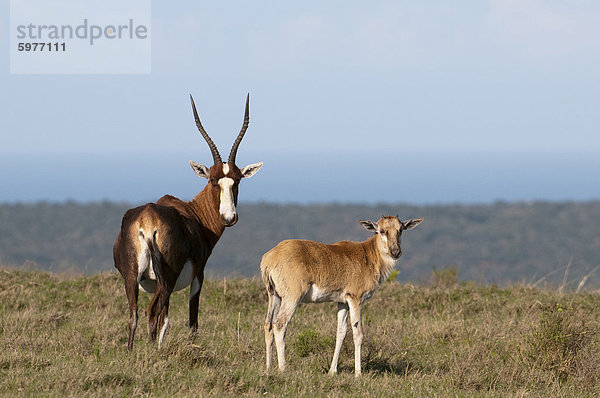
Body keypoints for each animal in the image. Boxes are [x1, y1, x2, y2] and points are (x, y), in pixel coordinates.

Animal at [113, 95, 262, 350]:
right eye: (213, 180)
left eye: (237, 181)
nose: (229, 217)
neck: (191, 213)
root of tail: (147, 221)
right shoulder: (198, 275)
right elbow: (191, 319)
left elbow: (166, 319)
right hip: (166, 280)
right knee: (152, 313)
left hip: (133, 279)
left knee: (135, 314)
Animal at [262, 215, 422, 376]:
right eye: (382, 230)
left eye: (400, 229)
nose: (395, 252)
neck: (368, 254)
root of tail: (270, 257)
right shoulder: (356, 299)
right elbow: (358, 333)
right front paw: (358, 374)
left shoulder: (343, 302)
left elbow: (341, 332)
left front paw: (332, 371)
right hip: (292, 298)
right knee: (280, 324)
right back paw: (283, 368)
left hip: (274, 296)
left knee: (268, 324)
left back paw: (268, 368)